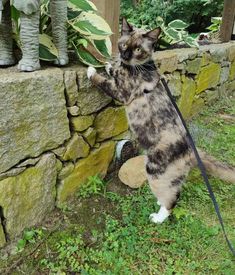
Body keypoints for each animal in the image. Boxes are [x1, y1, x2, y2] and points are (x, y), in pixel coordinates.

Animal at [86, 17, 235, 224]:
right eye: (123, 44)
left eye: (138, 49)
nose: (125, 55)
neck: (141, 66)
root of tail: (191, 150)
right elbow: (114, 70)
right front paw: (109, 65)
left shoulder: (122, 92)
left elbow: (104, 81)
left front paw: (91, 70)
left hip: (155, 170)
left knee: (172, 198)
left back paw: (158, 217)